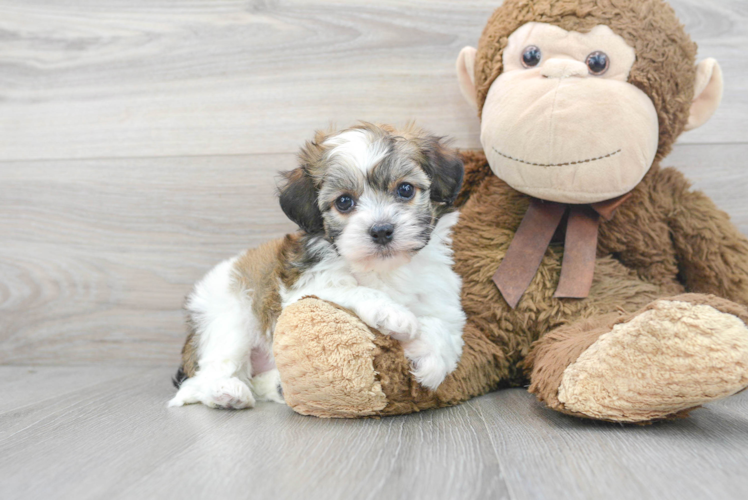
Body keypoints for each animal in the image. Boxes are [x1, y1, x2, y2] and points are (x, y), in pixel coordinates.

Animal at [168, 123, 468, 408]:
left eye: (405, 189)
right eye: (344, 202)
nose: (381, 230)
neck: (384, 270)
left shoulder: (442, 297)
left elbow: (445, 326)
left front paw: (432, 362)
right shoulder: (303, 287)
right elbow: (348, 289)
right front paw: (393, 314)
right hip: (229, 318)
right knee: (204, 376)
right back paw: (226, 392)